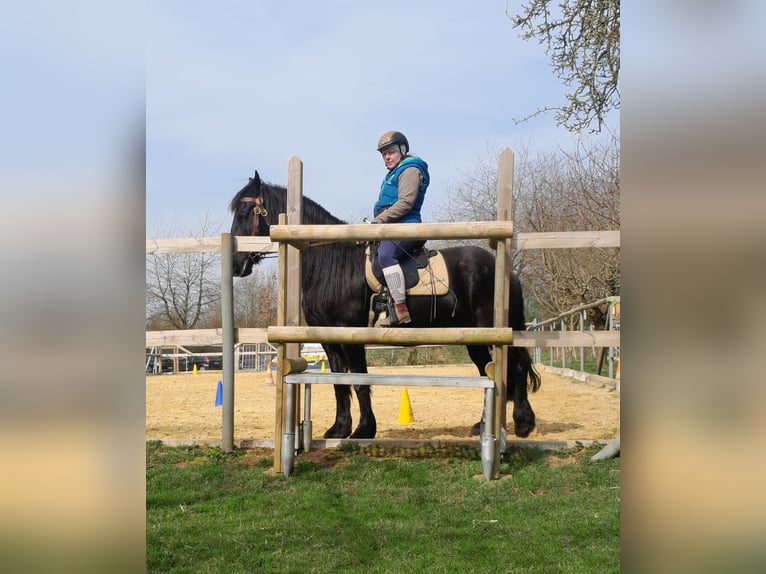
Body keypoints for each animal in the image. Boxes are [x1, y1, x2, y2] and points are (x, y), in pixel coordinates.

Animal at [229, 171, 541, 439]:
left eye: (244, 213)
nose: (235, 264)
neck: (332, 260)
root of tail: (505, 270)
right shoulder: (329, 338)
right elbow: (339, 384)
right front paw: (339, 429)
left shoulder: (351, 335)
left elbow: (359, 381)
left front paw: (364, 430)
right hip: (473, 337)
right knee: (489, 372)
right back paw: (485, 424)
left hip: (492, 330)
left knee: (516, 366)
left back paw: (523, 423)